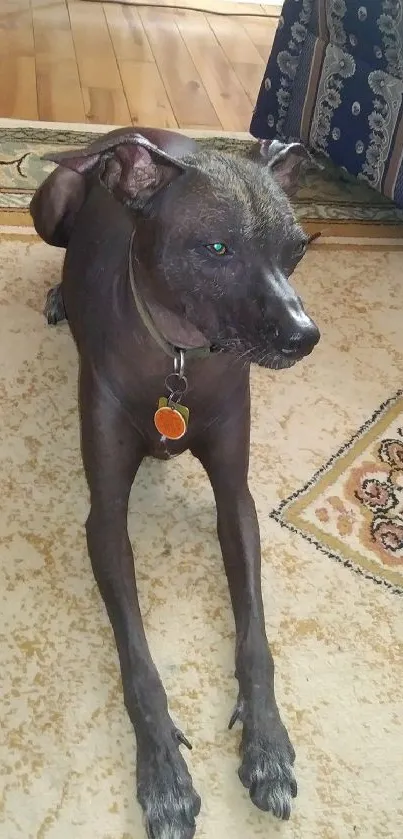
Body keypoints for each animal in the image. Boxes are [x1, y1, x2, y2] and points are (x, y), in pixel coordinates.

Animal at [30, 126, 320, 839]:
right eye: (216, 248)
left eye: (297, 249)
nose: (305, 337)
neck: (180, 358)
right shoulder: (105, 517)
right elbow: (138, 663)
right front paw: (164, 776)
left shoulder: (237, 503)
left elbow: (256, 638)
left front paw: (269, 748)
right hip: (55, 202)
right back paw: (58, 296)